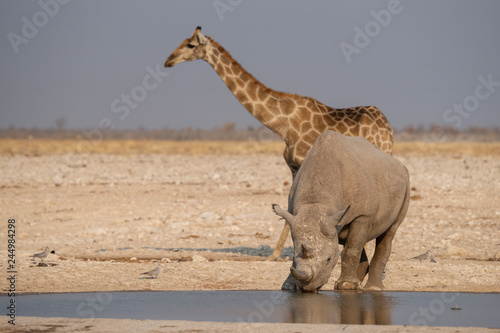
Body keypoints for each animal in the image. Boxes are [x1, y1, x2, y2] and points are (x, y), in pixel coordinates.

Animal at [166, 27, 392, 268]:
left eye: (190, 45)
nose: (168, 61)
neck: (282, 124)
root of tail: (387, 126)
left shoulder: (303, 163)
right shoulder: (293, 166)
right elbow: (290, 207)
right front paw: (277, 254)